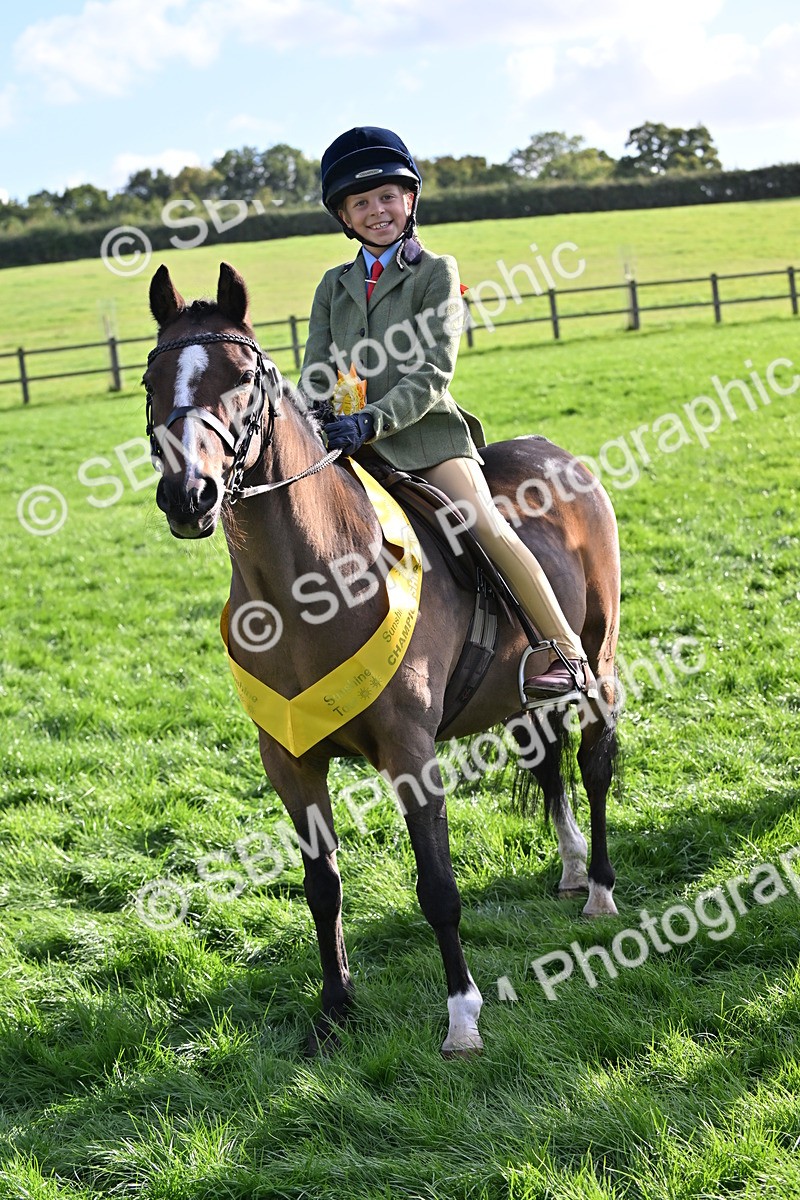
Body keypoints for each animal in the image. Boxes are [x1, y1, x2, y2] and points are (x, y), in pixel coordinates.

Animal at [144, 261, 621, 1056]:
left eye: (241, 378)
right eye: (152, 380)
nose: (190, 496)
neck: (308, 586)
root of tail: (557, 453)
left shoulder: (409, 751)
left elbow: (437, 886)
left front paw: (462, 1018)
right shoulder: (290, 761)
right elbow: (322, 886)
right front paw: (335, 1010)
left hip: (598, 660)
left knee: (594, 763)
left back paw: (603, 889)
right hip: (521, 694)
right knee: (549, 760)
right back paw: (573, 869)